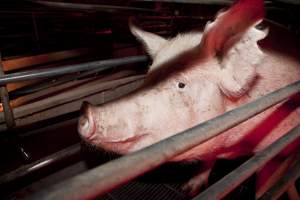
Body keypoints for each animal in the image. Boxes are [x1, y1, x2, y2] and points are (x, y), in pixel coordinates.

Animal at [78, 0, 300, 197]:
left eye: (181, 84)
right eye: (148, 75)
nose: (86, 112)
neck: (233, 146)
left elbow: (268, 181)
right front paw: (188, 189)